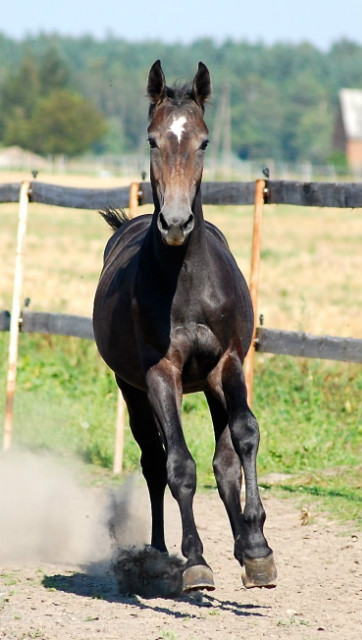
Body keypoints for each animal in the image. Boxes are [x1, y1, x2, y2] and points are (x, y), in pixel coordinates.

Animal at [93, 62, 278, 592]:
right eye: (153, 140)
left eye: (204, 141)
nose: (175, 223)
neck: (188, 283)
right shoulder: (160, 374)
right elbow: (178, 463)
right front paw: (196, 561)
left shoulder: (227, 363)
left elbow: (244, 437)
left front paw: (258, 548)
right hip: (132, 388)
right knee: (154, 463)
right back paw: (159, 553)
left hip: (210, 384)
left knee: (225, 459)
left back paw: (243, 545)